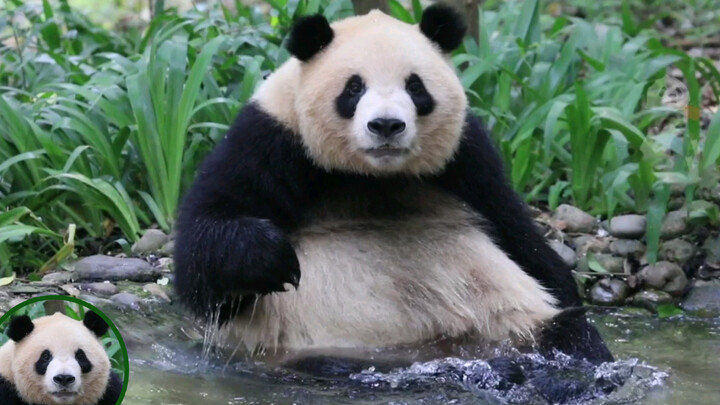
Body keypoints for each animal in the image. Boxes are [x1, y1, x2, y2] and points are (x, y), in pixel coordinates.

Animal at [176, 1, 612, 364]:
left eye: (415, 86)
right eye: (354, 87)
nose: (386, 125)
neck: (373, 177)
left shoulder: (467, 163)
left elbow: (522, 239)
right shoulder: (270, 141)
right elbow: (203, 252)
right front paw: (272, 256)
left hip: (509, 324)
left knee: (567, 333)